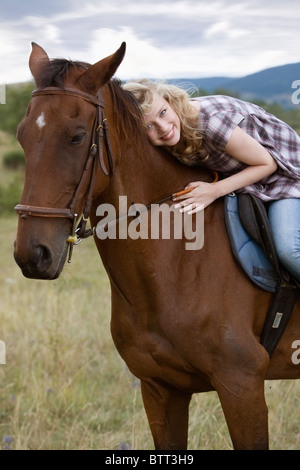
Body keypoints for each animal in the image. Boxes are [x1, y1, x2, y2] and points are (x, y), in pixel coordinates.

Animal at [12, 44, 298, 452]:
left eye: (77, 137)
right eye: (22, 136)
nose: (32, 255)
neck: (176, 261)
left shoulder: (241, 384)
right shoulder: (160, 390)